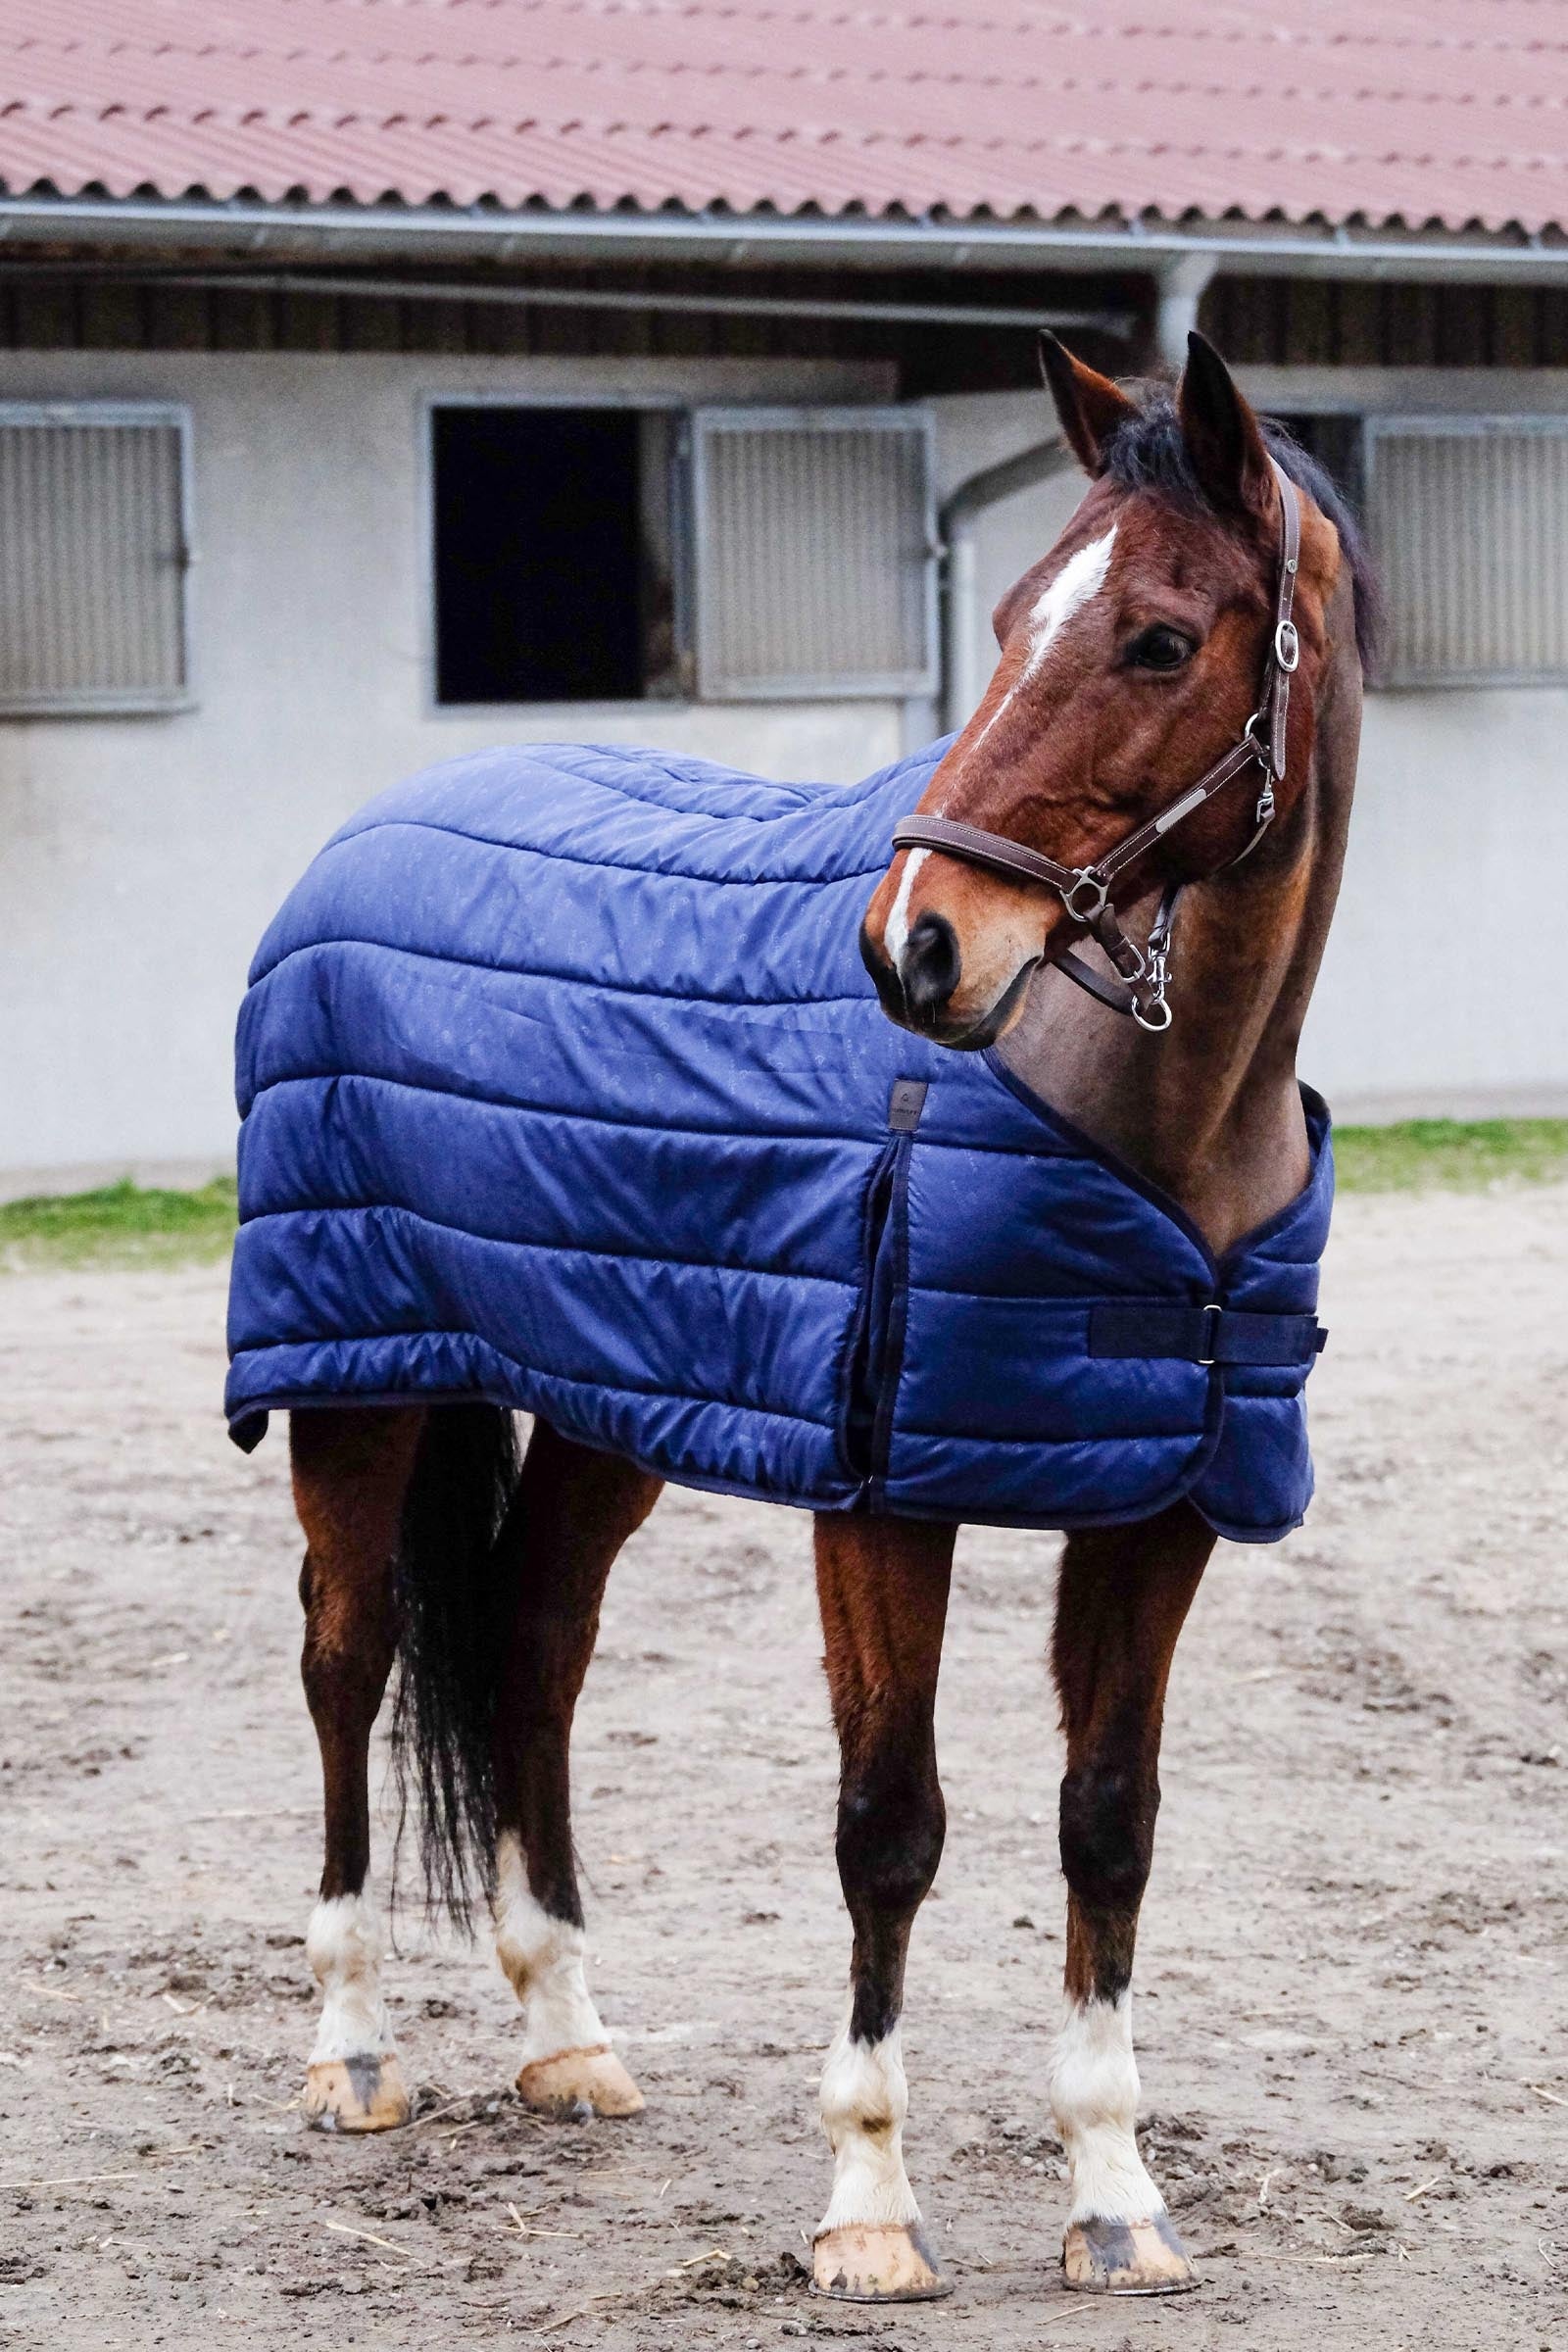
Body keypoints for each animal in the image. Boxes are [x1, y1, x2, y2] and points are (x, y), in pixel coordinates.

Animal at [257, 331, 1372, 2305]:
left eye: (1160, 638)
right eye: (1007, 617)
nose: (916, 949)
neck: (1144, 1119)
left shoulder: (1158, 1509)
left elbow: (1111, 1824)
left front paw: (1114, 2196)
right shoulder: (880, 1491)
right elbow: (889, 1827)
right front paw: (868, 2208)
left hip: (610, 1398)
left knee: (534, 1640)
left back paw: (568, 2036)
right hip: (358, 1375)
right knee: (349, 1654)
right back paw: (354, 2052)